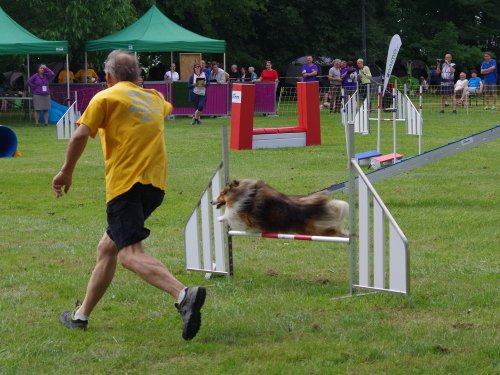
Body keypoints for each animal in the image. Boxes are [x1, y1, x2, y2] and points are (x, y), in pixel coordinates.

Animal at [211, 180, 348, 238]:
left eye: (221, 194)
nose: (211, 201)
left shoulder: (244, 216)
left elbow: (230, 213)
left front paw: (220, 218)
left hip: (317, 229)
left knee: (333, 229)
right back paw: (346, 233)